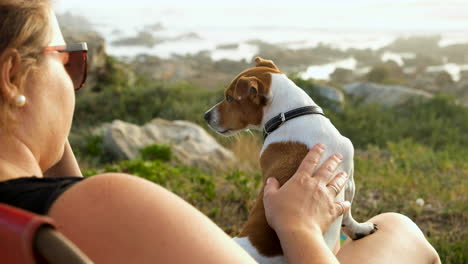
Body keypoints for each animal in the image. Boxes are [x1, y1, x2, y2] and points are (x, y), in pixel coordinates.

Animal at [204, 56, 376, 262]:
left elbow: (348, 214)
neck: (289, 116)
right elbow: (347, 211)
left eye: (229, 98)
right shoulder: (348, 181)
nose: (205, 116)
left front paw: (359, 228)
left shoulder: (348, 180)